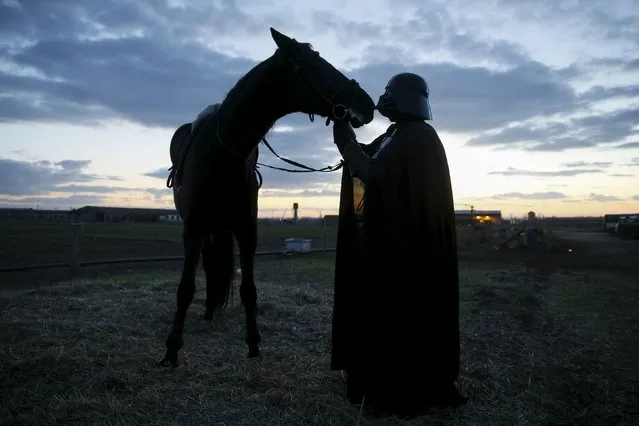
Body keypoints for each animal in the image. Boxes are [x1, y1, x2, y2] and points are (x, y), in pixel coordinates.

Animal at [160, 27, 378, 366]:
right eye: (315, 64)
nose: (368, 104)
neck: (222, 152)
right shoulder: (192, 229)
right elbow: (185, 288)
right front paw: (172, 348)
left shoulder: (246, 230)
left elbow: (249, 289)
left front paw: (253, 343)